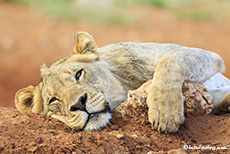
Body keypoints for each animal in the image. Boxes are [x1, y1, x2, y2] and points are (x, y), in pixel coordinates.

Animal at [14, 31, 230, 132]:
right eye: (53, 100)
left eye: (78, 74)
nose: (79, 104)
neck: (125, 83)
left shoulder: (210, 56)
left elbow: (170, 61)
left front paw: (165, 112)